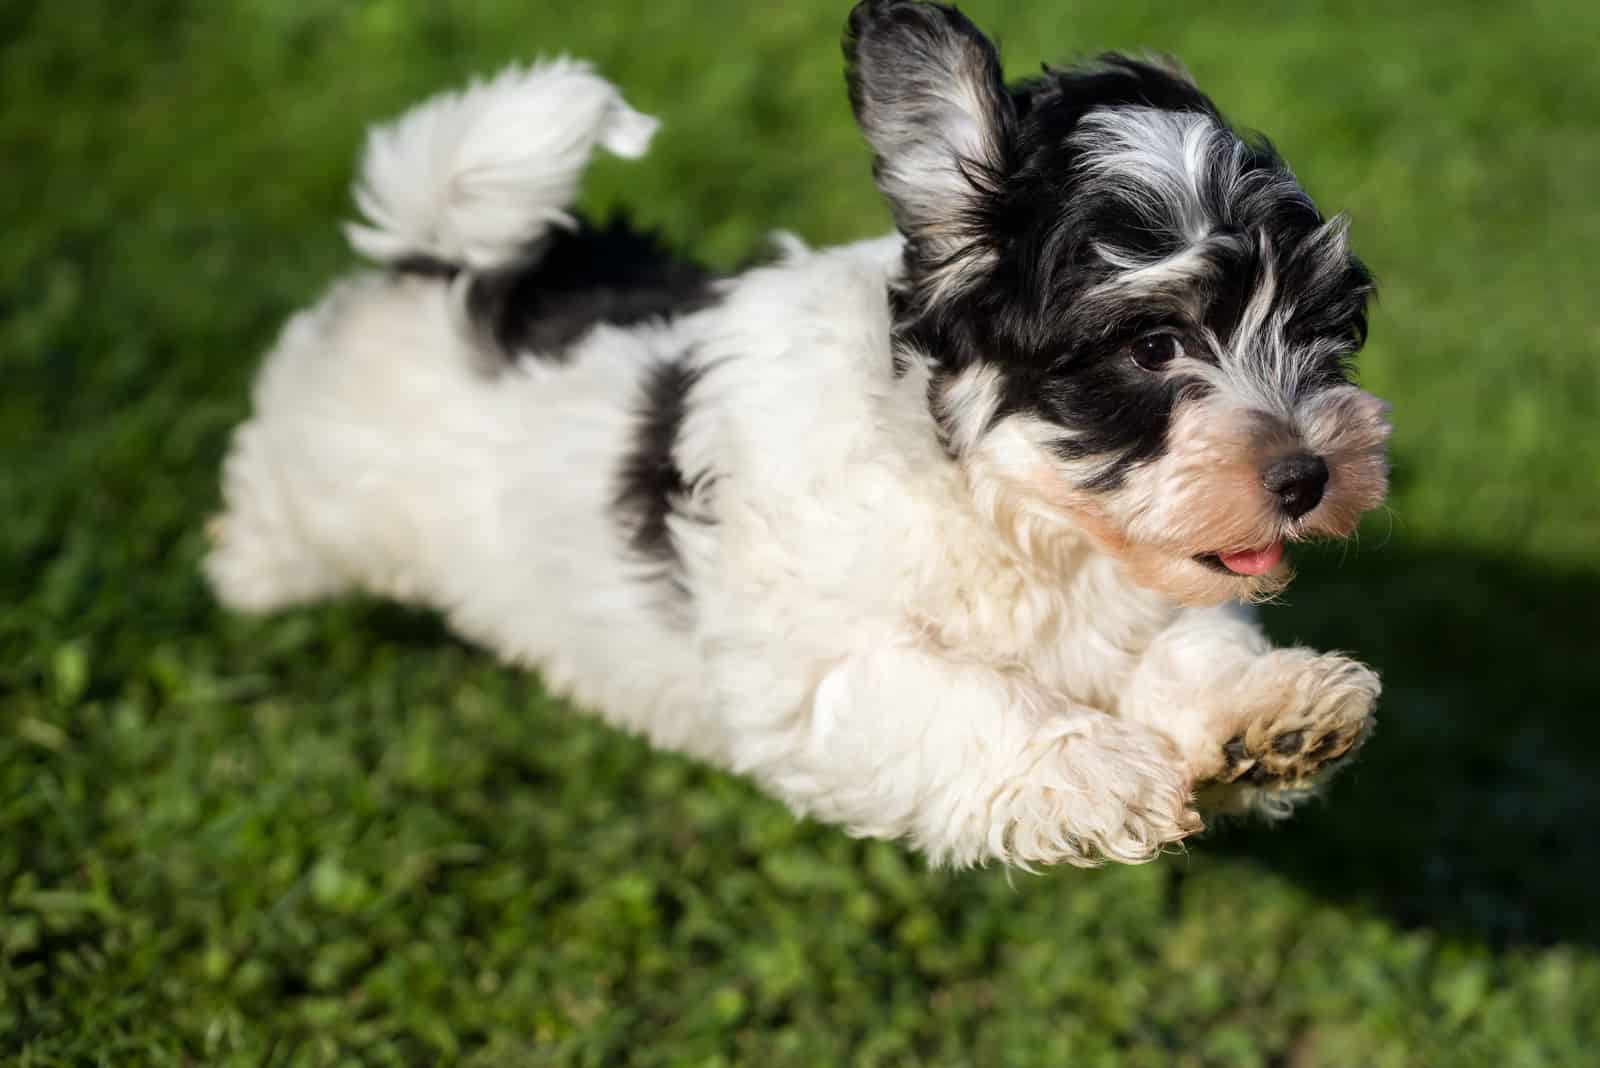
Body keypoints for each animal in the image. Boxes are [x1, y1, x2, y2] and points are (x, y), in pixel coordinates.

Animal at [209, 2, 1388, 869]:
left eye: (1322, 331)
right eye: (1153, 345)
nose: (1306, 474)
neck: (1010, 510)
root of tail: (453, 259)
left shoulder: (1138, 603)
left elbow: (1190, 645)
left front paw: (1266, 719)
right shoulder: (822, 667)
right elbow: (958, 695)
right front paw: (1093, 769)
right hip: (319, 489)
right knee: (267, 523)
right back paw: (238, 574)